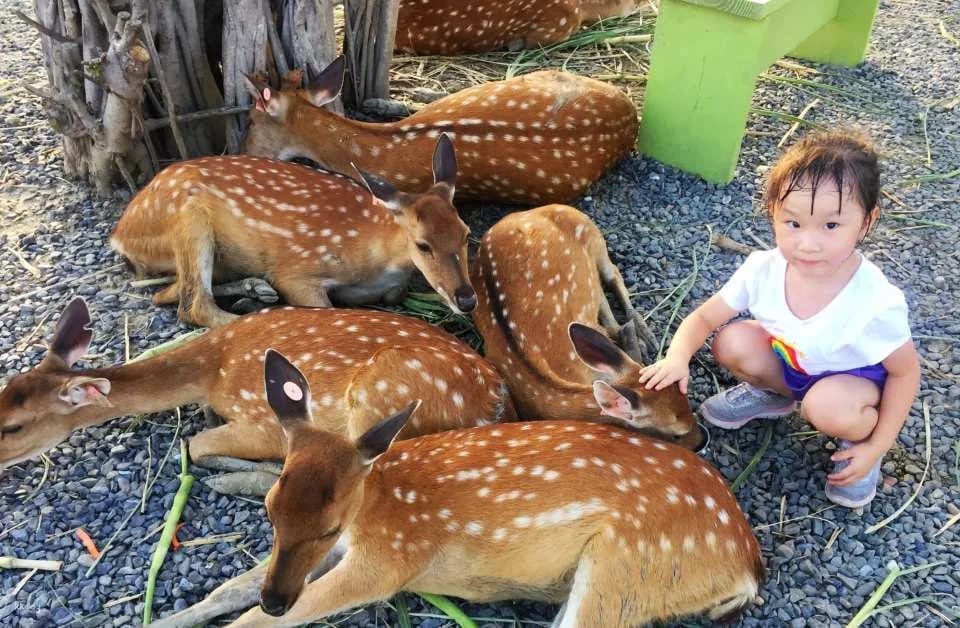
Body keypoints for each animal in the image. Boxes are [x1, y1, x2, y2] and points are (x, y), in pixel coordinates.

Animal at [0, 298, 514, 491]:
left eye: (13, 426)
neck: (212, 369)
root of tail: (494, 401)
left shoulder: (266, 418)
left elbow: (194, 445)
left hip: (383, 391)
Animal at [110, 133, 475, 329]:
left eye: (466, 233)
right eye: (423, 245)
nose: (467, 298)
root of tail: (120, 234)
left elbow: (393, 293)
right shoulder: (297, 267)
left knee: (170, 292)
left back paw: (255, 291)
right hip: (188, 217)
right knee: (191, 302)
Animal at [149, 351, 763, 628]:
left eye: (328, 524)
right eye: (271, 512)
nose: (277, 599)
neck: (376, 506)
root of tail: (749, 567)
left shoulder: (389, 562)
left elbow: (257, 620)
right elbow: (228, 589)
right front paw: (163, 620)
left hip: (629, 566)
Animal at [471, 204, 707, 450]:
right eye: (677, 434)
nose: (703, 440)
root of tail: (524, 212)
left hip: (590, 231)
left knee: (612, 275)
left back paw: (643, 332)